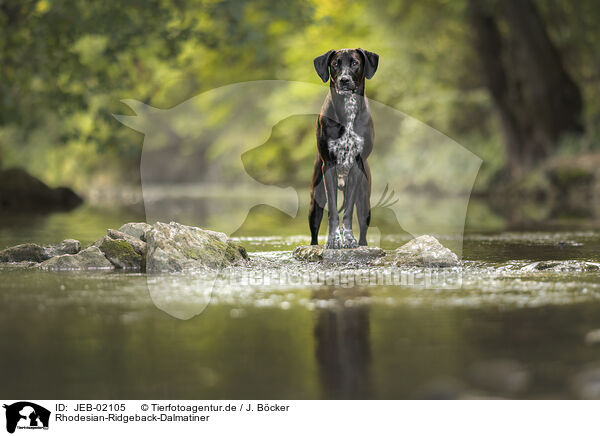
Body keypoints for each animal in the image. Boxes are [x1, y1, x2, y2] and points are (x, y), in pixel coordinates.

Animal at [310, 47, 380, 249]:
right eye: (335, 64)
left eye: (355, 63)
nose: (344, 80)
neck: (347, 109)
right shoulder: (329, 167)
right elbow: (333, 211)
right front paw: (333, 240)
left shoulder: (357, 167)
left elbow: (347, 211)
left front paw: (348, 238)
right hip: (316, 200)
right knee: (314, 232)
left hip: (364, 204)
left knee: (363, 230)